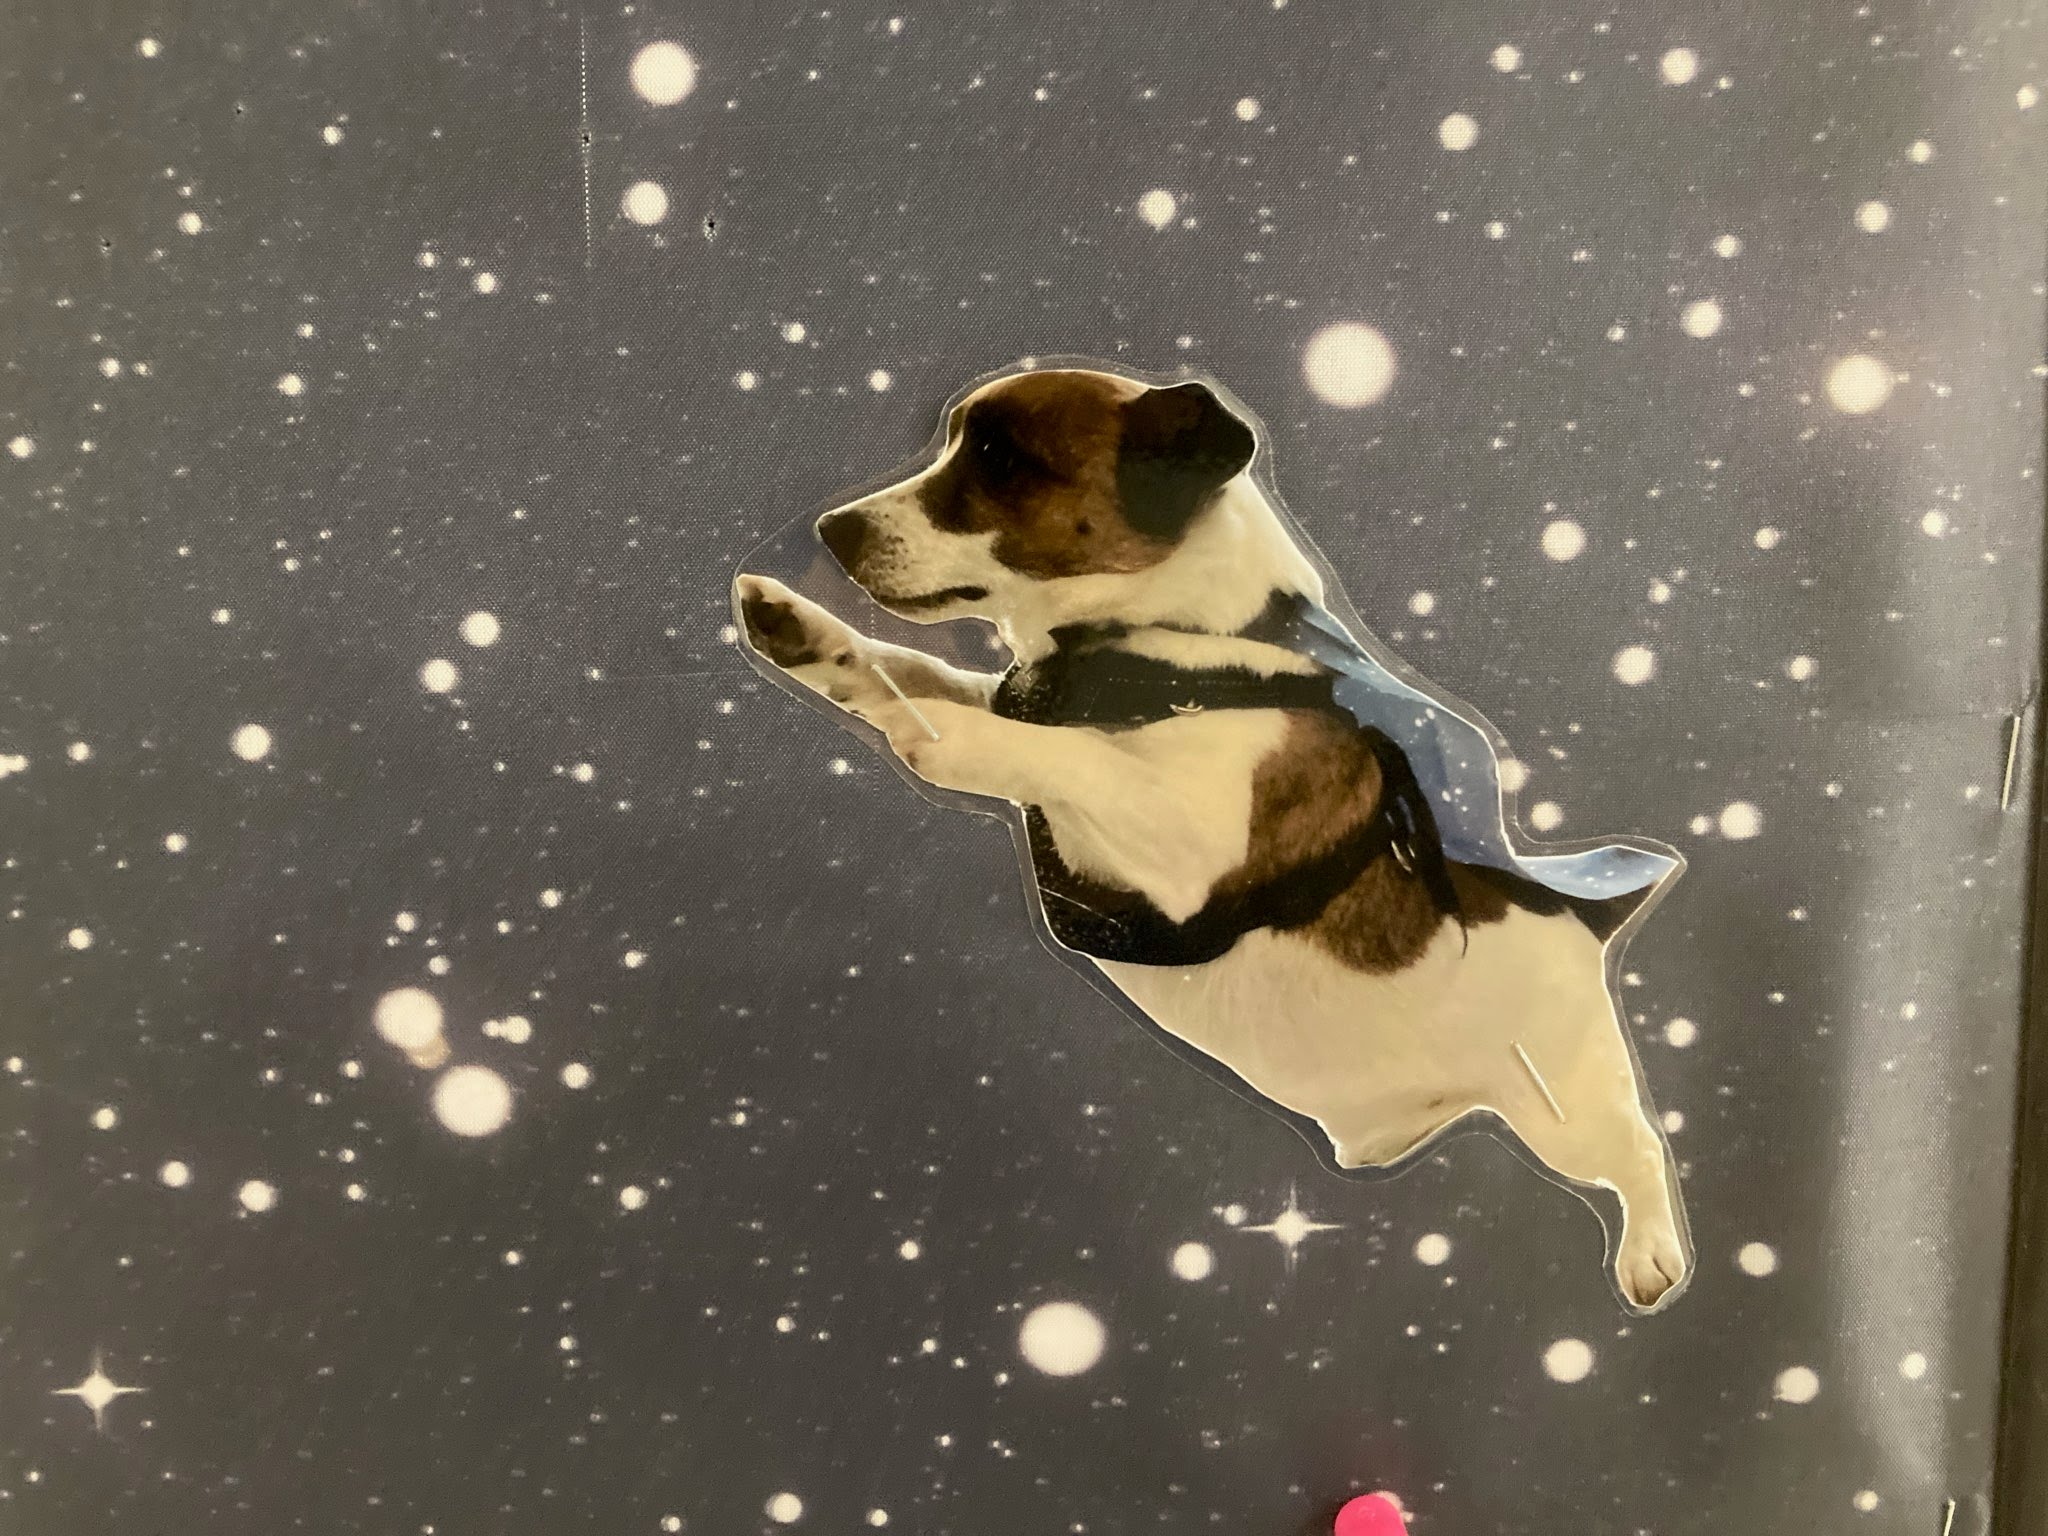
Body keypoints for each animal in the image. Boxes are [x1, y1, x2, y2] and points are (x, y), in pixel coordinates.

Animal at [734, 366, 1691, 1311]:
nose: (828, 529)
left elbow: (1066, 753)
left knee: (1639, 1149)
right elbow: (910, 673)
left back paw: (1652, 1253)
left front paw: (948, 738)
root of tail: (1584, 926)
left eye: (1001, 458)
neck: (1162, 641)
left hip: (1566, 1106)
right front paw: (807, 636)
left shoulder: (1181, 846)